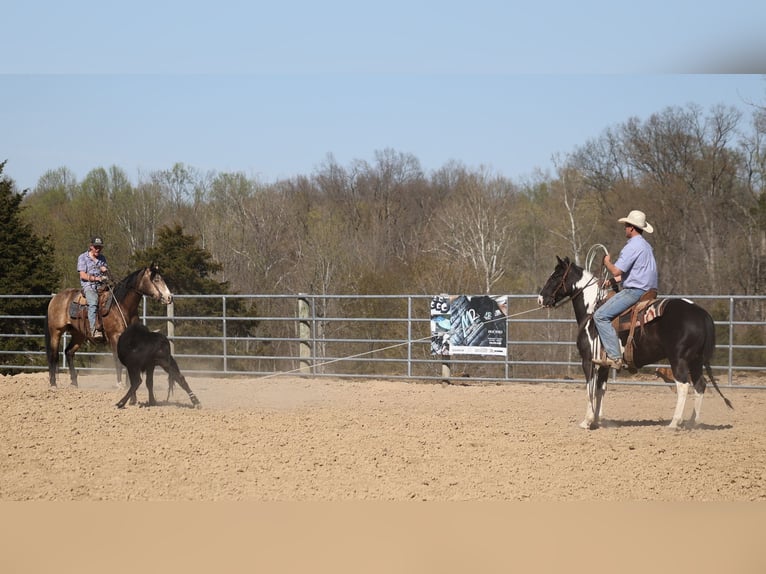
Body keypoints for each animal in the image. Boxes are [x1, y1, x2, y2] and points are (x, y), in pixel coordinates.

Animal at [46, 264, 176, 390]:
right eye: (156, 279)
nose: (169, 297)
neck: (122, 306)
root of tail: (56, 298)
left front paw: (129, 384)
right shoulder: (115, 337)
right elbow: (117, 360)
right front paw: (120, 384)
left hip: (79, 335)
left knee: (69, 352)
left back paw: (74, 383)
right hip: (56, 331)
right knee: (54, 355)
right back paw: (53, 384)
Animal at [536, 258, 736, 432]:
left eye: (555, 276)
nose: (540, 298)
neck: (591, 311)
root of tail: (701, 313)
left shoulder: (588, 361)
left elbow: (590, 390)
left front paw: (587, 421)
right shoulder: (604, 365)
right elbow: (601, 390)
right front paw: (599, 420)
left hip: (679, 359)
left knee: (683, 385)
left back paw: (674, 423)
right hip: (696, 360)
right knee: (700, 385)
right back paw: (692, 422)